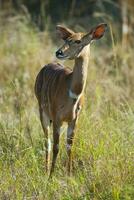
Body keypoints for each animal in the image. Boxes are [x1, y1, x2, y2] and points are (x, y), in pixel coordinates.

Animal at [34, 23, 107, 176]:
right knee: (47, 142)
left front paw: (69, 174)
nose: (59, 52)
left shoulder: (74, 119)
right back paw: (45, 171)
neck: (72, 94)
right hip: (42, 111)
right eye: (66, 39)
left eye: (78, 41)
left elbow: (69, 147)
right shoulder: (57, 117)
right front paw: (51, 176)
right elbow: (56, 147)